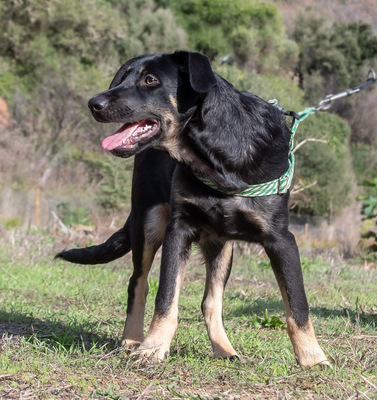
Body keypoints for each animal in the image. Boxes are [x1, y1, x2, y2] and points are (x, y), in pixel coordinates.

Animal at [54, 50, 328, 366]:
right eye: (121, 78)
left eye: (150, 80)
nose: (93, 103)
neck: (218, 156)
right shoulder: (178, 229)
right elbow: (165, 297)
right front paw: (152, 347)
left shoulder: (281, 239)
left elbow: (298, 305)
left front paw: (312, 357)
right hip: (148, 224)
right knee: (138, 283)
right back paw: (132, 340)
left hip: (222, 247)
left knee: (211, 301)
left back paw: (225, 350)